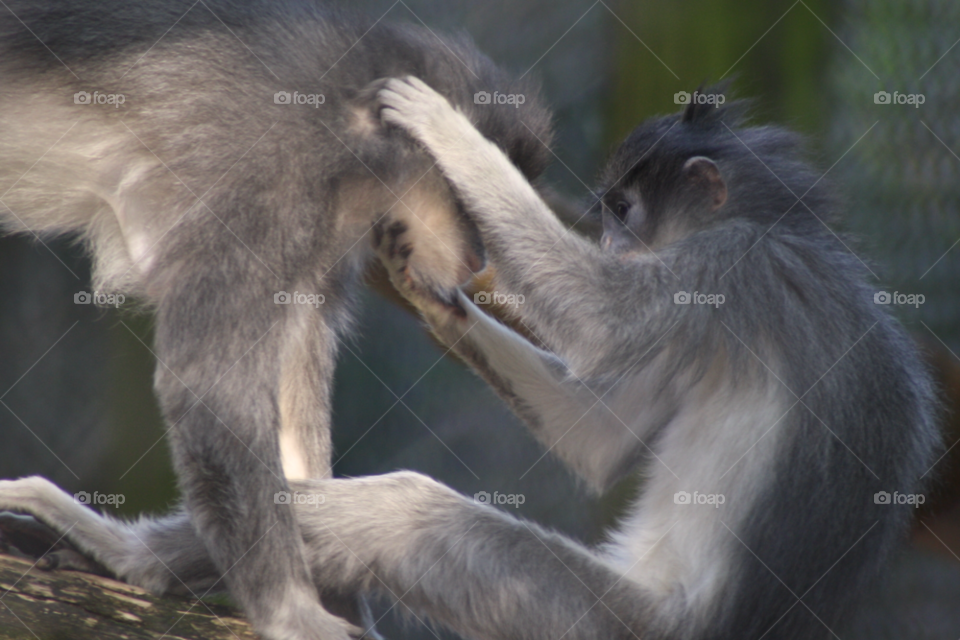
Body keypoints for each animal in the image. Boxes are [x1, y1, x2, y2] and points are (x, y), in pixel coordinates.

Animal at [0, 2, 553, 637]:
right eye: (468, 205)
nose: (478, 262)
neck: (343, 117)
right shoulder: (267, 179)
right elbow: (212, 385)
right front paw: (290, 609)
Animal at [0, 76, 940, 639]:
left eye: (622, 209)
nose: (610, 235)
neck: (789, 232)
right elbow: (600, 440)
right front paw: (421, 283)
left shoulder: (730, 269)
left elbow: (600, 326)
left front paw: (451, 133)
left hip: (587, 619)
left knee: (408, 514)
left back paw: (120, 553)